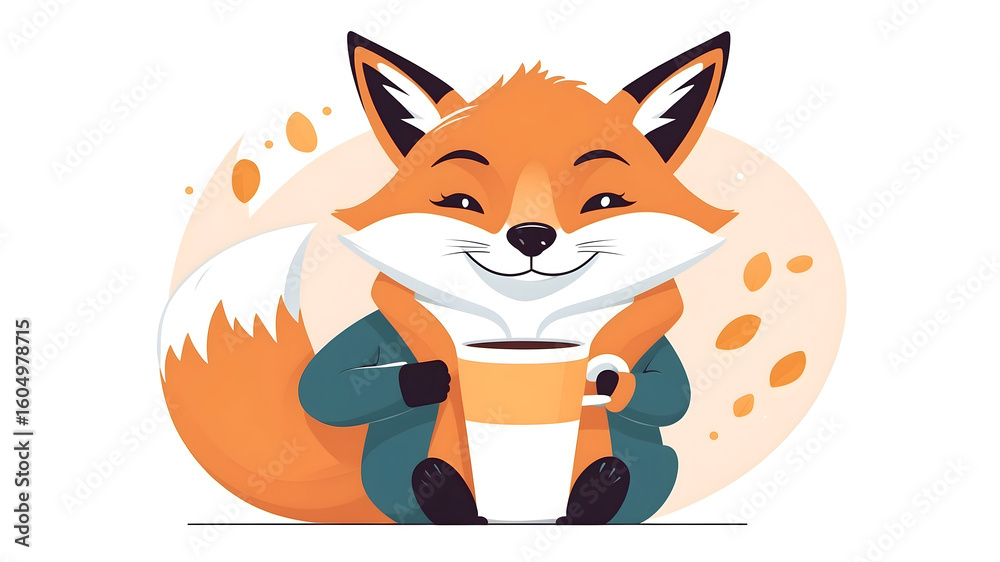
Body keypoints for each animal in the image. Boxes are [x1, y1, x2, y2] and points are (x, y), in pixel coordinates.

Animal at [159, 31, 735, 525]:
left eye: (604, 202)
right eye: (460, 202)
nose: (531, 236)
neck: (522, 322)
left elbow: (671, 393)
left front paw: (608, 382)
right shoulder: (377, 331)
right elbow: (323, 386)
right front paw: (439, 377)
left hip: (657, 465)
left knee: (639, 472)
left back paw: (596, 492)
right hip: (386, 469)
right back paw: (447, 495)